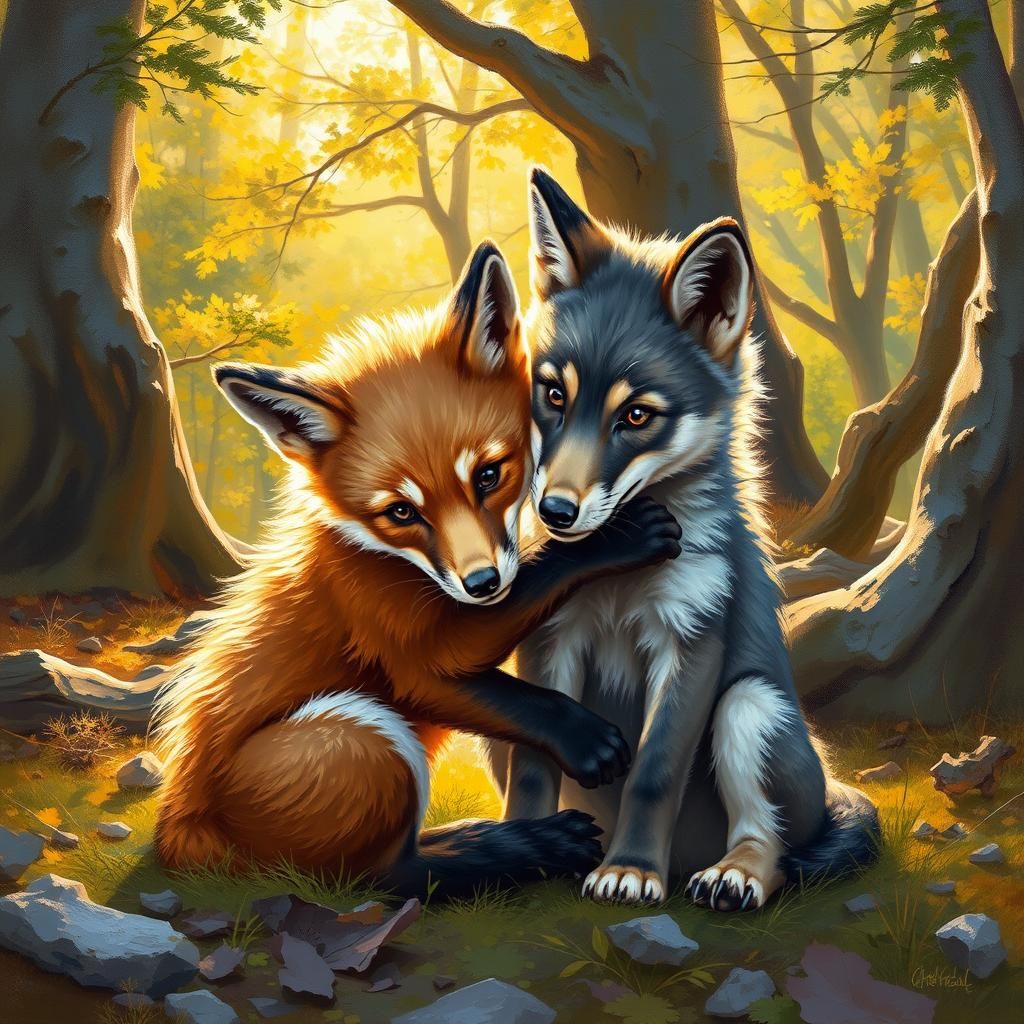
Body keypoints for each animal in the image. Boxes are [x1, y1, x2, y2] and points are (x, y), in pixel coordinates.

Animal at [152, 239, 683, 898]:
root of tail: (179, 835)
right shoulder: (411, 657)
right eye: (401, 511)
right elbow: (523, 686)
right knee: (389, 876)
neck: (377, 555)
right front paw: (587, 737)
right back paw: (526, 844)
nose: (482, 584)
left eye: (489, 474)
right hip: (362, 734)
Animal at [486, 169, 880, 911]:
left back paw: (728, 874)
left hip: (748, 707)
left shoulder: (691, 642)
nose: (554, 514)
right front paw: (526, 848)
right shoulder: (550, 641)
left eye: (638, 416)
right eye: (553, 396)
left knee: (772, 846)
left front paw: (632, 869)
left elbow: (654, 771)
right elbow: (533, 770)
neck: (618, 574)